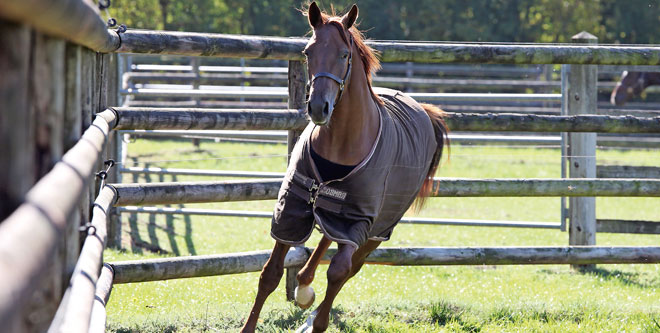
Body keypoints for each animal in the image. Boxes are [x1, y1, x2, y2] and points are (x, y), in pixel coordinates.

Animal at [240, 1, 452, 330]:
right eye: (308, 52)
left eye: (343, 54)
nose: (318, 107)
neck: (342, 143)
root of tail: (423, 111)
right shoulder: (291, 212)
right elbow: (270, 273)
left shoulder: (357, 222)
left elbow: (338, 273)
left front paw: (318, 320)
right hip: (336, 214)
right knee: (327, 242)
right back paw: (304, 284)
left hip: (377, 229)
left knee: (350, 266)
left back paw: (308, 295)